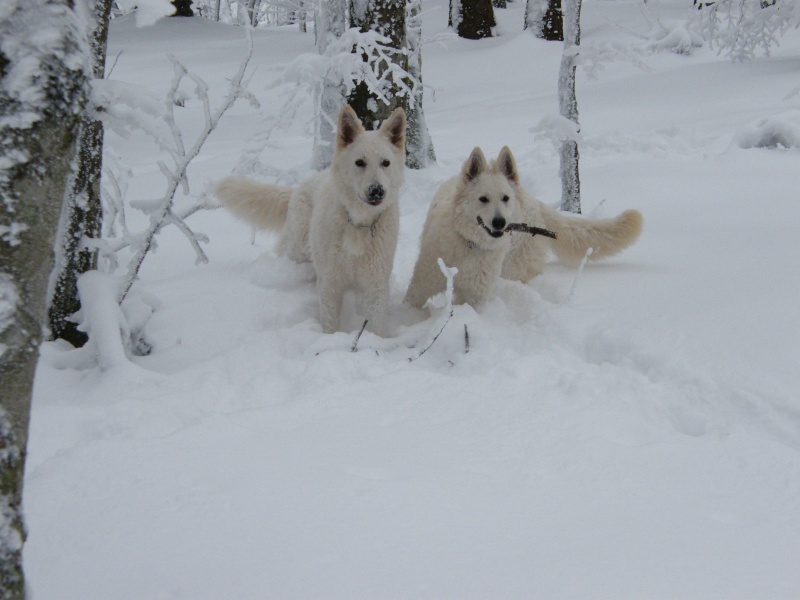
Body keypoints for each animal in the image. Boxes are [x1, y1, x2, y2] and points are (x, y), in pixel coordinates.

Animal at [214, 105, 406, 336]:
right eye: (360, 162)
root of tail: (296, 189)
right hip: (299, 251)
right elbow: (330, 324)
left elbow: (375, 326)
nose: (377, 191)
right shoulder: (330, 283)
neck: (357, 222)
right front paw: (330, 340)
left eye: (385, 163)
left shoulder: (375, 285)